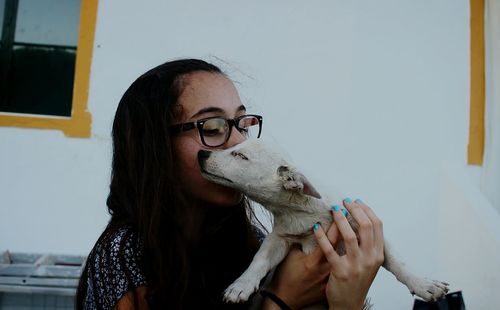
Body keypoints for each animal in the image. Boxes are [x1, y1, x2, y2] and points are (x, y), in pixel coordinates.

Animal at [197, 139, 452, 306]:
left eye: (240, 156)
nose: (201, 154)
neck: (298, 210)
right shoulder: (279, 238)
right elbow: (259, 260)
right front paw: (240, 285)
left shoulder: (365, 226)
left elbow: (399, 263)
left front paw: (424, 285)